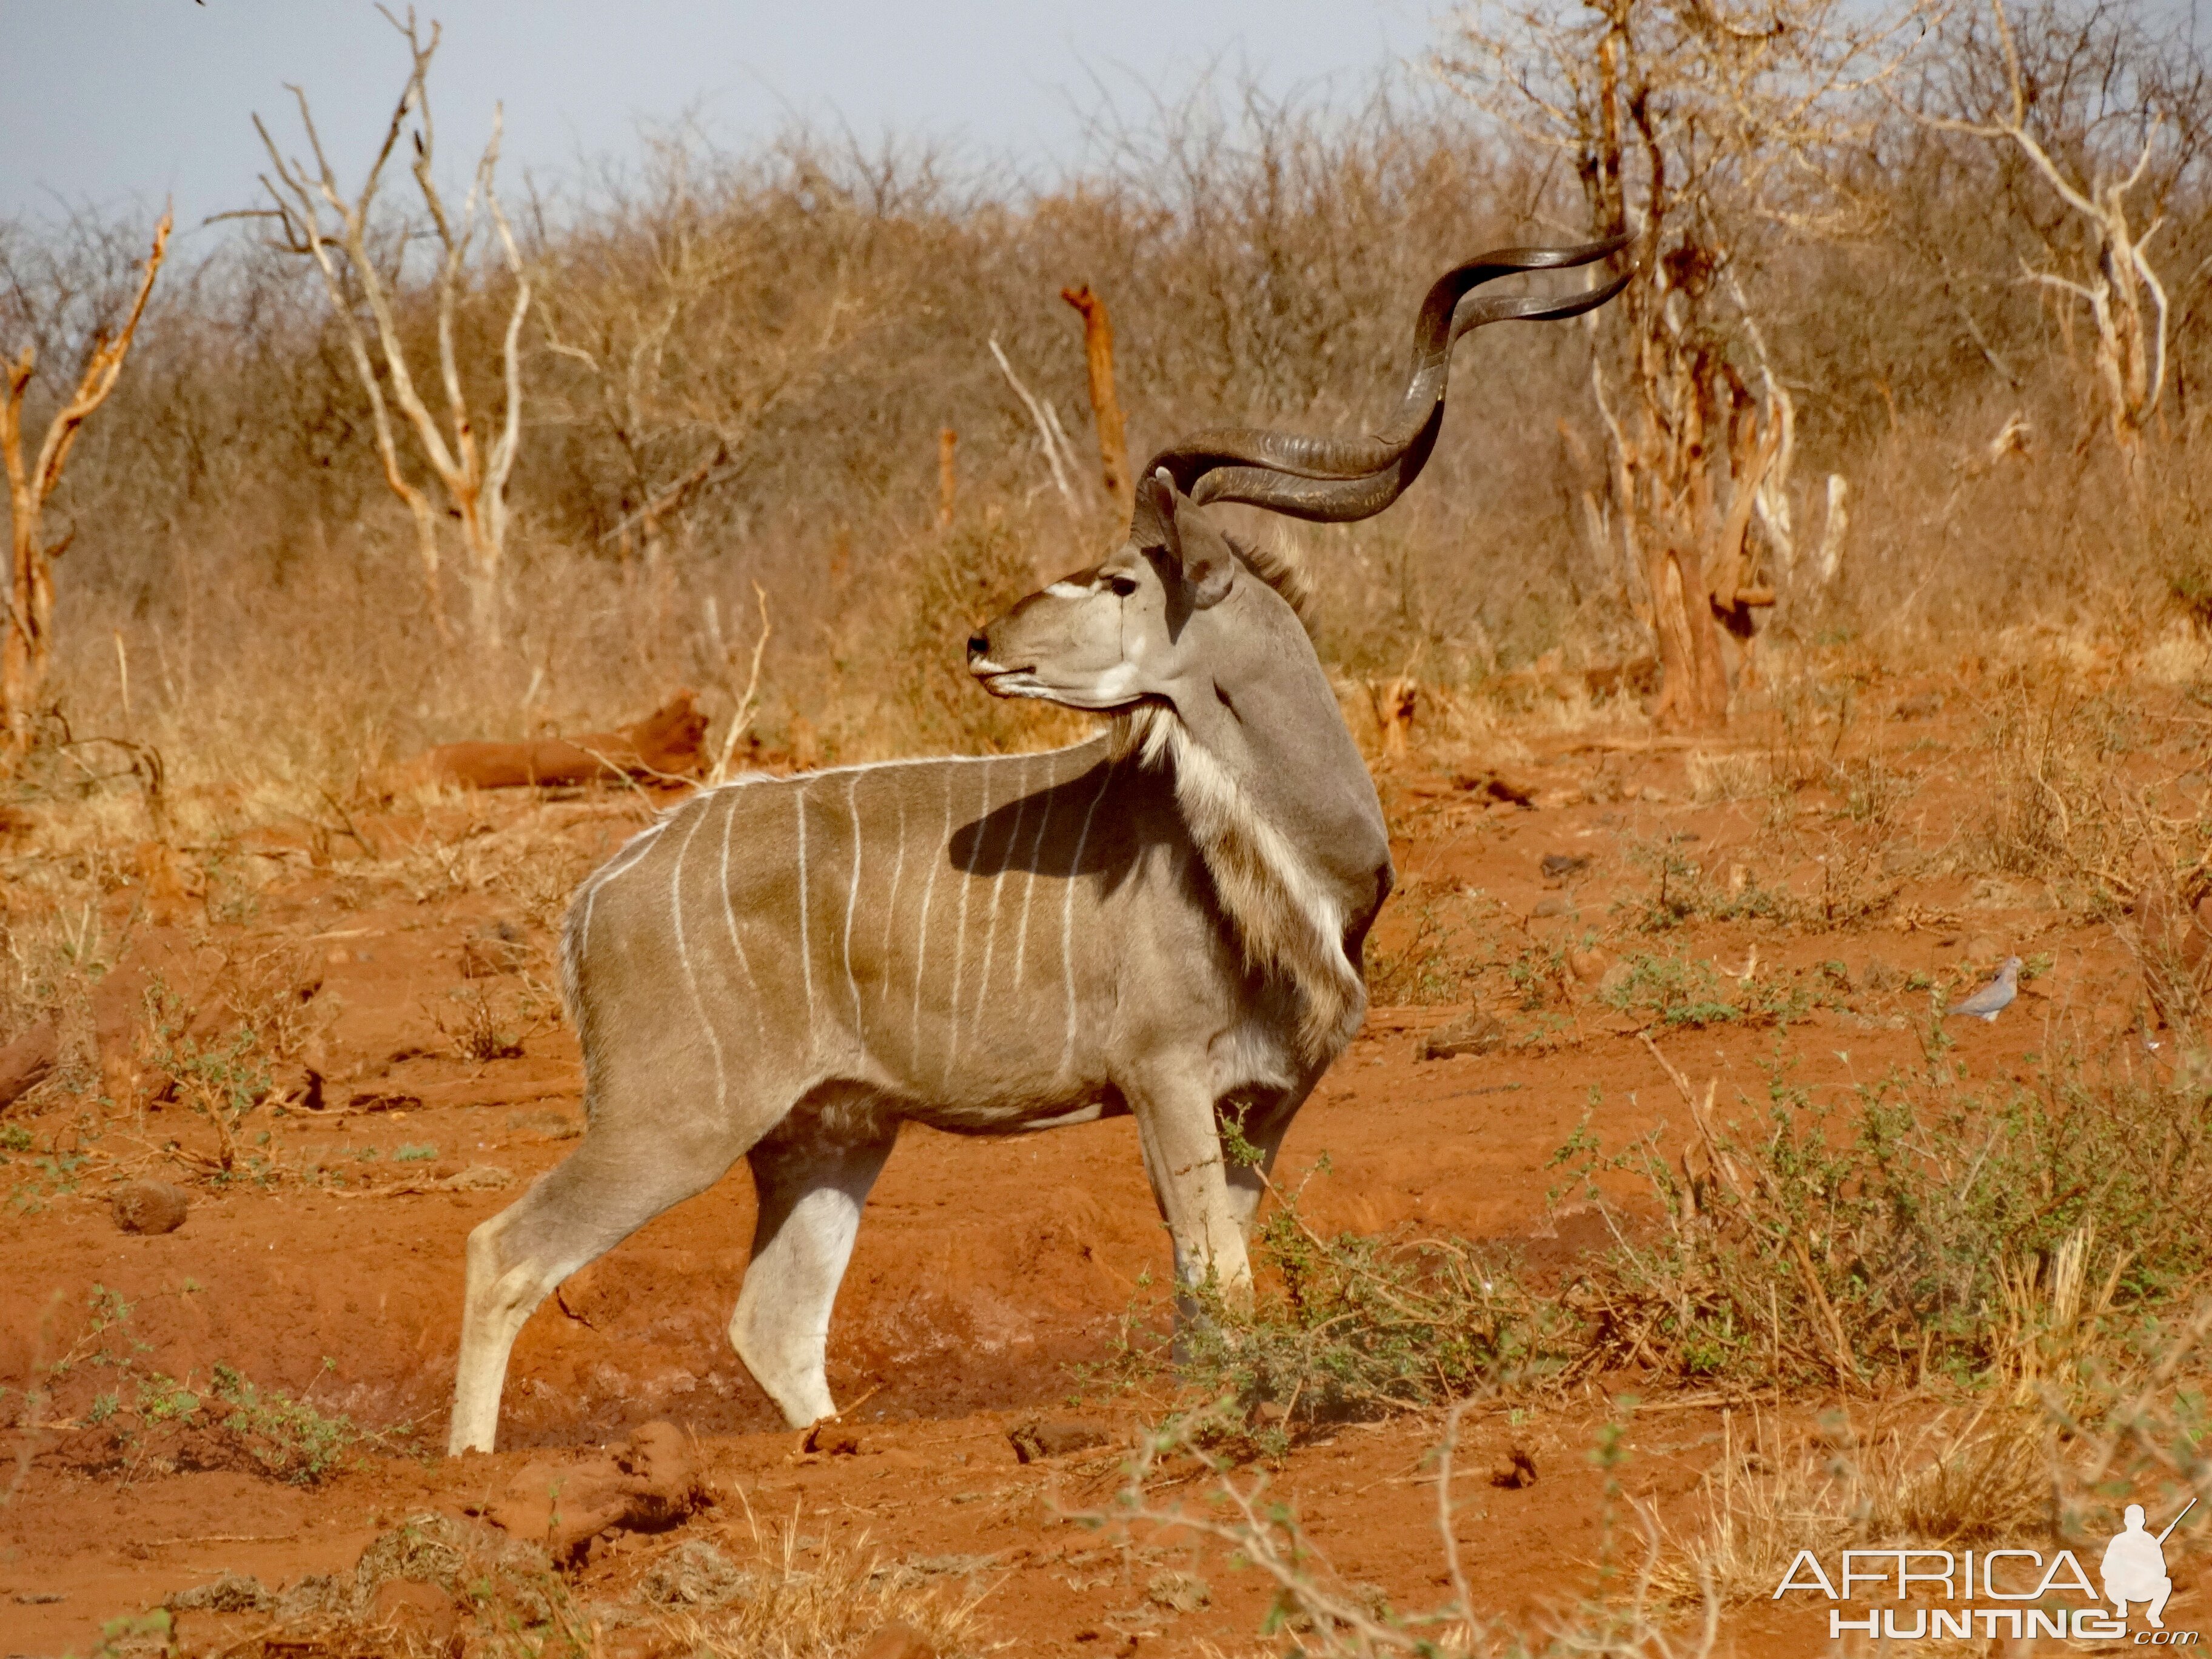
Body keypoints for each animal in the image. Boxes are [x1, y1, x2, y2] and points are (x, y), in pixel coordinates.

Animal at [449, 234, 1627, 1451]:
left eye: (1120, 578)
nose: (981, 640)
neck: (1297, 860)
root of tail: (594, 895)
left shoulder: (1268, 1096)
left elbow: (1212, 1276)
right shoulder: (1163, 1075)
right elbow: (1216, 1275)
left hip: (828, 1134)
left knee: (772, 1316)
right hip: (675, 1121)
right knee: (507, 1251)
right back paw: (472, 1467)